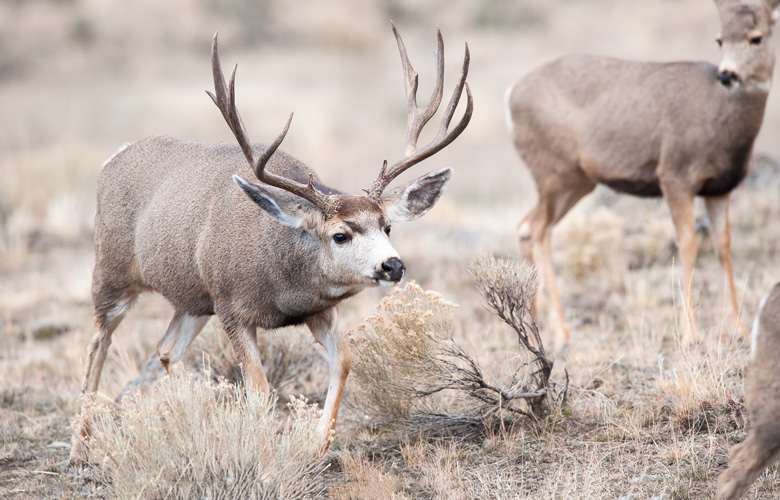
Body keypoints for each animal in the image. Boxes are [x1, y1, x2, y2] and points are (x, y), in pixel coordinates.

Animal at [70, 25, 472, 464]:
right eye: (340, 234)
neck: (281, 276)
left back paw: (197, 418)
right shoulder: (231, 305)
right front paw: (264, 462)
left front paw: (317, 446)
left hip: (193, 297)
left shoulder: (318, 309)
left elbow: (344, 360)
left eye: (387, 227)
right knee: (98, 342)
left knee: (167, 348)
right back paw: (79, 445)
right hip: (111, 269)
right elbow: (260, 388)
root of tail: (113, 157)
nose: (393, 266)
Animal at [502, 0, 776, 352]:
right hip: (553, 171)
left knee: (526, 227)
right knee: (537, 230)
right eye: (719, 39)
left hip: (577, 181)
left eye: (756, 37)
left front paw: (739, 329)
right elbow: (688, 245)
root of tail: (510, 95)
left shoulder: (720, 188)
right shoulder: (675, 175)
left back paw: (531, 325)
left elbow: (724, 246)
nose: (727, 74)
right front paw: (691, 334)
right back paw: (562, 333)